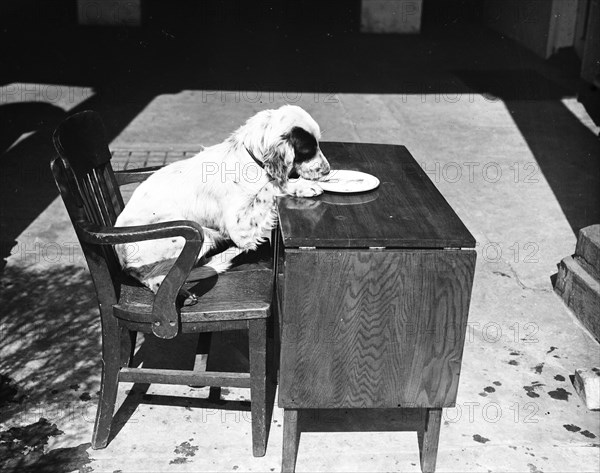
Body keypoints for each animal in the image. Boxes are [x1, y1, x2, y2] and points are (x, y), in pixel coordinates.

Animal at [115, 103, 330, 292]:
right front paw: (301, 185)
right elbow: (272, 185)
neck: (250, 158)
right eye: (308, 150)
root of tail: (123, 260)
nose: (328, 171)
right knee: (156, 275)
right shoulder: (239, 228)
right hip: (199, 235)